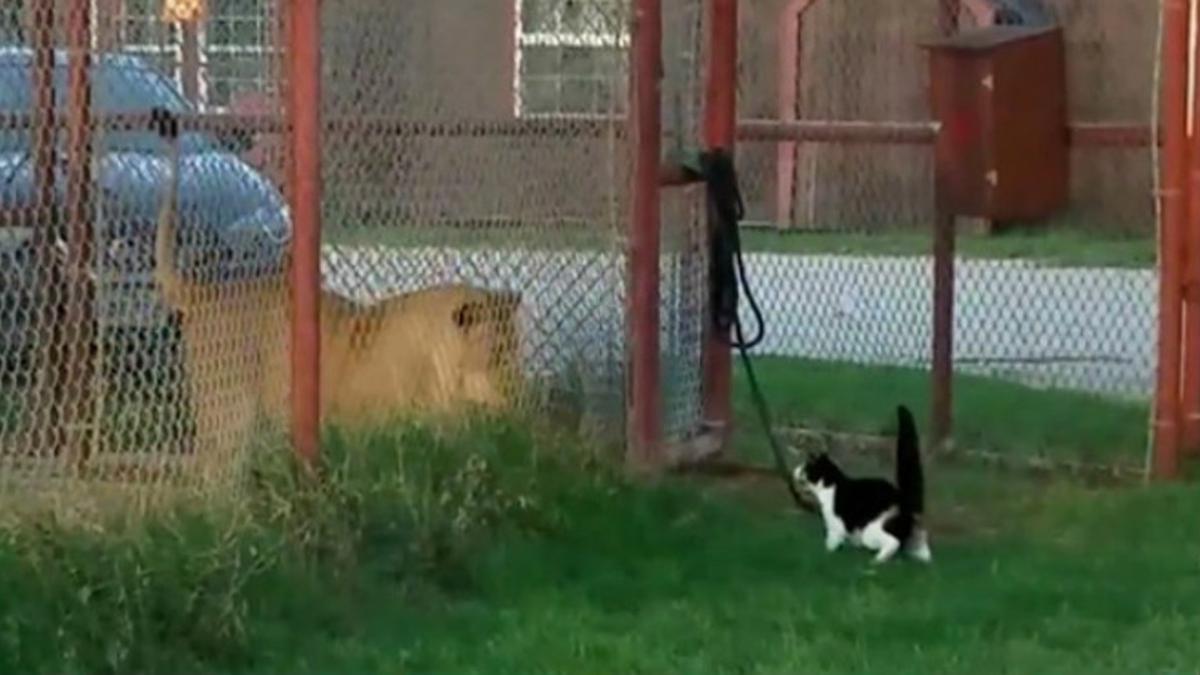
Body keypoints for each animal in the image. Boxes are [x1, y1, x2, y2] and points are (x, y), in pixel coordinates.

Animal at [792, 403, 931, 562]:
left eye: (804, 467)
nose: (794, 470)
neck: (829, 484)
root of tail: (901, 496)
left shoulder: (835, 528)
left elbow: (830, 544)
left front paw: (826, 556)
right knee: (920, 550)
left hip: (870, 532)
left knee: (893, 542)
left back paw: (877, 561)